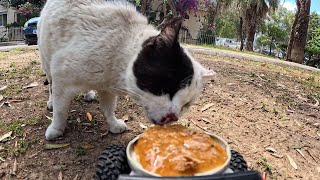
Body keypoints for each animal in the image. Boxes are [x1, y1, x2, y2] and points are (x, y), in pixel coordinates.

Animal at [38, 0, 216, 141]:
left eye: (186, 105)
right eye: (167, 88)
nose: (172, 117)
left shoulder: (107, 89)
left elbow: (109, 108)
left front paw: (113, 124)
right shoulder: (62, 78)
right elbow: (61, 111)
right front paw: (56, 129)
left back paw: (88, 93)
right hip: (47, 62)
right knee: (51, 86)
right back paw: (51, 102)